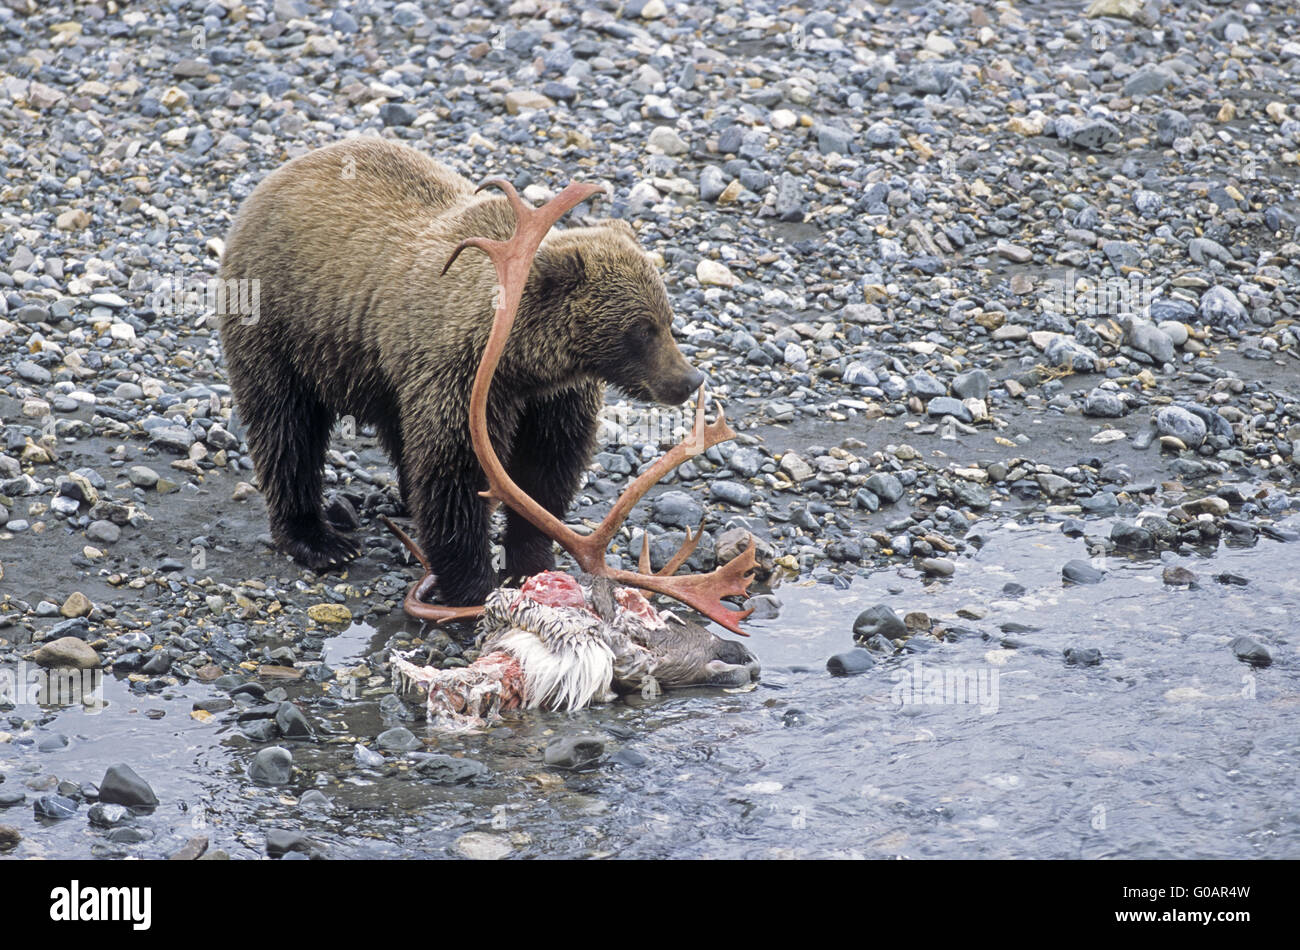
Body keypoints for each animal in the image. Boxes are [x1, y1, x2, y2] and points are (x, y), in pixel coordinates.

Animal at [217, 137, 704, 606]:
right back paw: (319, 540)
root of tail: (279, 174)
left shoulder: (553, 398)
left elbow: (545, 471)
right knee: (286, 427)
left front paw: (530, 559)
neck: (525, 363)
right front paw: (473, 585)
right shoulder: (461, 380)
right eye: (641, 329)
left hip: (380, 373)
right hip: (280, 324)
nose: (689, 380)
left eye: (667, 319)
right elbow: (455, 475)